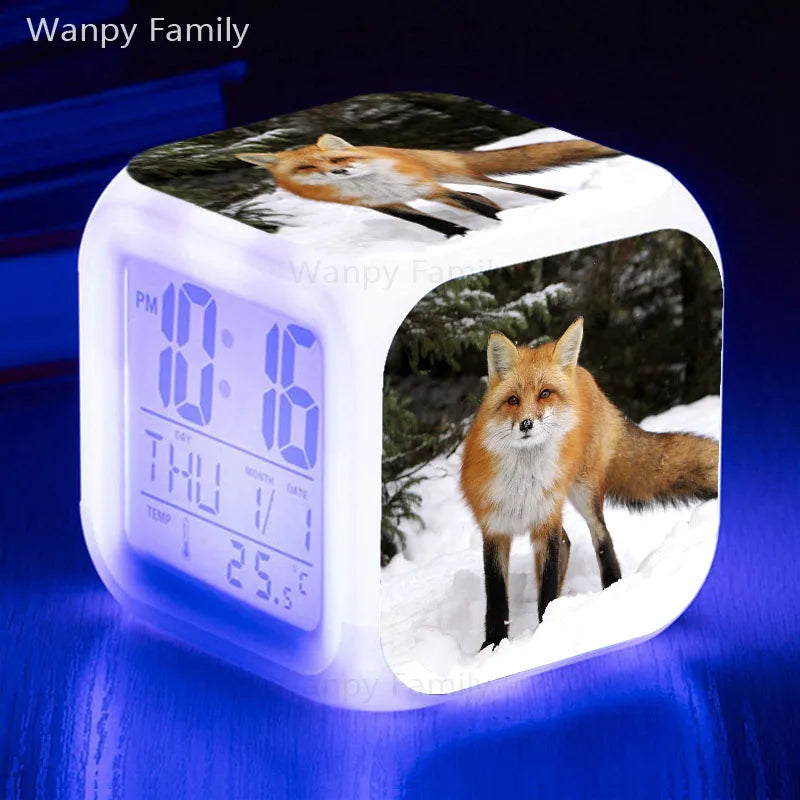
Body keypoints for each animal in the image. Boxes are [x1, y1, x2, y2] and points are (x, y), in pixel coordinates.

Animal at [235, 134, 619, 238]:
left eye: (337, 159)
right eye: (306, 166)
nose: (340, 172)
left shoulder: (426, 188)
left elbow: (473, 205)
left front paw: (497, 227)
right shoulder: (384, 205)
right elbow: (431, 223)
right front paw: (458, 236)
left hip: (453, 177)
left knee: (499, 187)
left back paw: (556, 198)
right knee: (482, 194)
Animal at [460, 319, 719, 650]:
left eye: (545, 393)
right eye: (512, 400)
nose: (526, 424)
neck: (524, 485)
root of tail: (584, 375)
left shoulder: (547, 522)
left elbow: (547, 584)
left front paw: (546, 629)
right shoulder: (494, 527)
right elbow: (496, 596)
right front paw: (493, 645)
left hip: (583, 493)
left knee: (602, 538)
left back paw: (612, 588)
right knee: (569, 542)